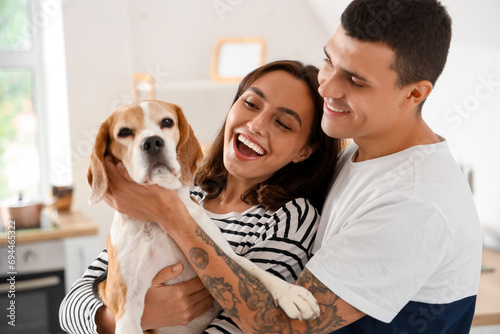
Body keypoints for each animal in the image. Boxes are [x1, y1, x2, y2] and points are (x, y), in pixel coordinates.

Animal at [88, 100, 318, 334]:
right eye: (124, 132)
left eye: (167, 122)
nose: (152, 142)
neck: (159, 224)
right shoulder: (127, 308)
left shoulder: (222, 254)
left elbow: (257, 270)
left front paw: (291, 293)